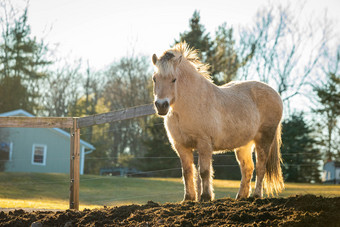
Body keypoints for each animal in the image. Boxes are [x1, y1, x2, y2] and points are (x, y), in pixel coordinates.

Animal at [152, 41, 284, 201]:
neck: (190, 103)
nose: (161, 105)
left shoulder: (204, 143)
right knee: (247, 168)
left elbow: (204, 171)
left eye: (173, 79)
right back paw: (241, 197)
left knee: (260, 167)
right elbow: (187, 172)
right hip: (244, 145)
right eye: (154, 79)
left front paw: (205, 197)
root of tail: (275, 93)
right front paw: (188, 199)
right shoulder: (181, 146)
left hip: (264, 139)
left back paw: (256, 196)